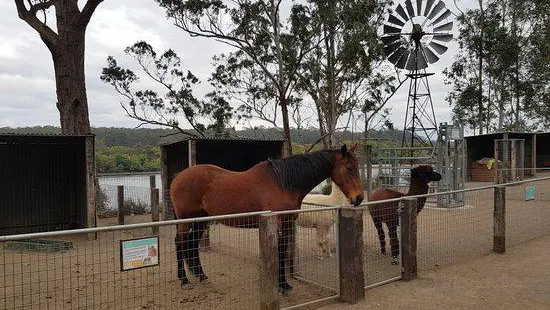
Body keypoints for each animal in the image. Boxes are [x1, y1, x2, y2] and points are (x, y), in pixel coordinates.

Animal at [170, 144, 364, 292]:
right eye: (349, 168)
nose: (359, 198)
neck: (283, 183)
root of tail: (177, 178)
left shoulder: (288, 223)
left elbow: (283, 251)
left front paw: (284, 284)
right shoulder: (278, 224)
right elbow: (280, 252)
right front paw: (282, 286)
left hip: (200, 220)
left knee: (192, 244)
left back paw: (201, 275)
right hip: (186, 220)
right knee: (180, 243)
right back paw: (184, 280)